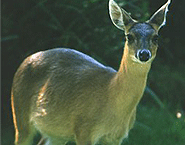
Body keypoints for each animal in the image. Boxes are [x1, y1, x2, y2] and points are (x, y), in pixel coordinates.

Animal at [11, 0, 171, 144]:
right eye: (129, 36)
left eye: (156, 37)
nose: (143, 54)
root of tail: (25, 60)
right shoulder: (84, 129)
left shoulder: (116, 137)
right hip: (19, 114)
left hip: (55, 133)